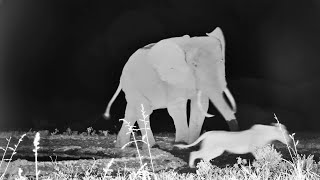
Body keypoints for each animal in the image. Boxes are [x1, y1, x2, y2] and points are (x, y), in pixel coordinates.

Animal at [104, 26, 238, 148]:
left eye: (222, 61)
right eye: (194, 65)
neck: (191, 43)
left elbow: (201, 106)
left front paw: (192, 145)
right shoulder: (173, 78)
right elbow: (176, 107)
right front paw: (181, 145)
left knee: (131, 111)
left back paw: (122, 146)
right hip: (132, 83)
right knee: (144, 109)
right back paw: (152, 147)